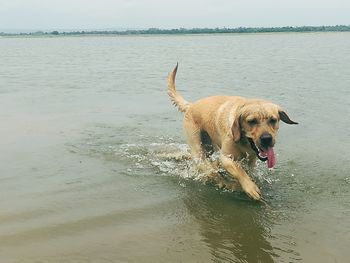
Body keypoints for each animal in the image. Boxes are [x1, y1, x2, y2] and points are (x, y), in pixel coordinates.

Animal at [167, 65, 298, 201]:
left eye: (273, 120)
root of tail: (191, 105)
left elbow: (247, 171)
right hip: (198, 149)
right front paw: (250, 187)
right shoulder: (226, 158)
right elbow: (239, 170)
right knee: (205, 165)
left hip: (208, 147)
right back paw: (220, 179)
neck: (244, 143)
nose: (266, 138)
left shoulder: (251, 161)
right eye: (251, 121)